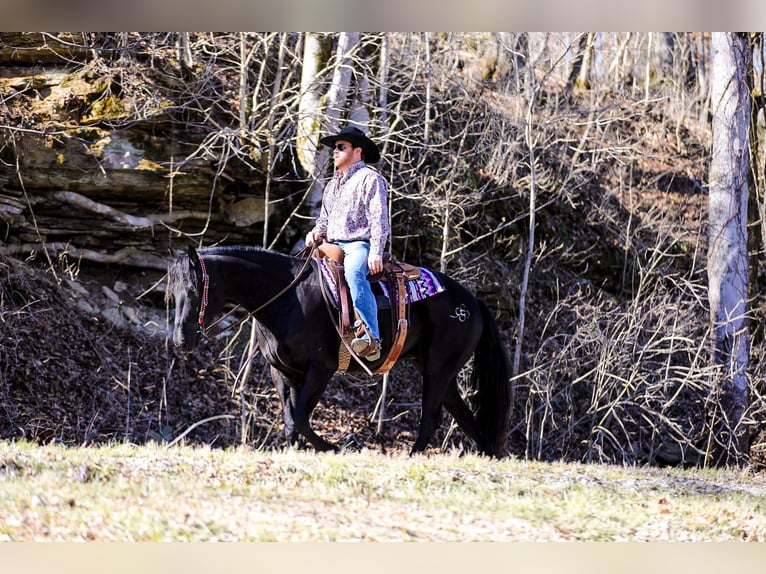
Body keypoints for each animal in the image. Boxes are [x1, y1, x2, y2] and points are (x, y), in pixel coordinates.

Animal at [171, 246, 512, 460]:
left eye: (193, 290)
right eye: (173, 293)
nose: (180, 340)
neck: (288, 299)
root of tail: (472, 303)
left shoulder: (320, 368)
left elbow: (301, 417)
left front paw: (332, 448)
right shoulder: (282, 371)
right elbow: (290, 417)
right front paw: (291, 450)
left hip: (438, 369)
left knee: (431, 417)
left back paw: (413, 456)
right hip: (440, 371)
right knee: (464, 417)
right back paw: (485, 455)